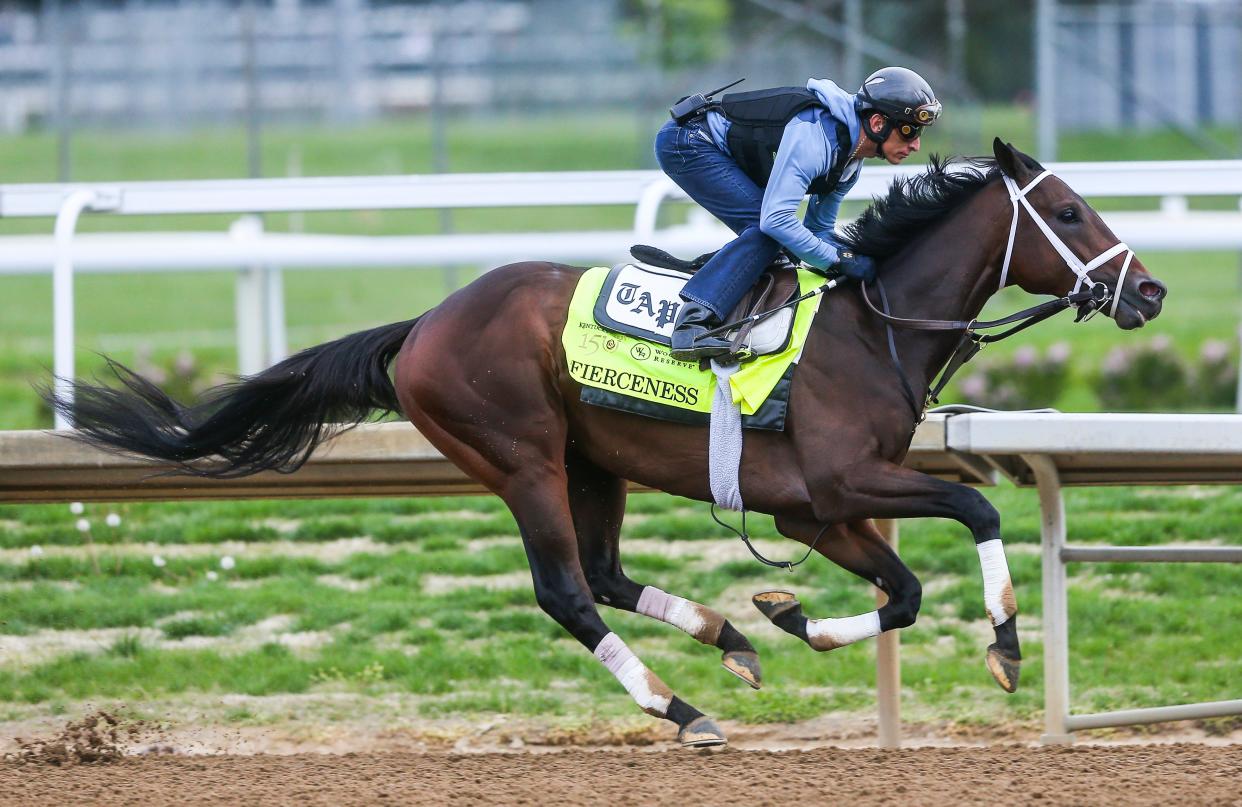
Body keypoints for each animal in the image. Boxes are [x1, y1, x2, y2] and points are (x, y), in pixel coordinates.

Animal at [48, 139, 1167, 749]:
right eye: (1070, 211)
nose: (1150, 291)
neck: (872, 324)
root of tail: (423, 326)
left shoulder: (814, 506)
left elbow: (904, 591)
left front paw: (792, 614)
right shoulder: (846, 479)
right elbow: (972, 508)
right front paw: (1007, 644)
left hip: (595, 465)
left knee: (606, 572)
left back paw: (730, 637)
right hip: (522, 458)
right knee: (567, 591)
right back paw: (679, 706)